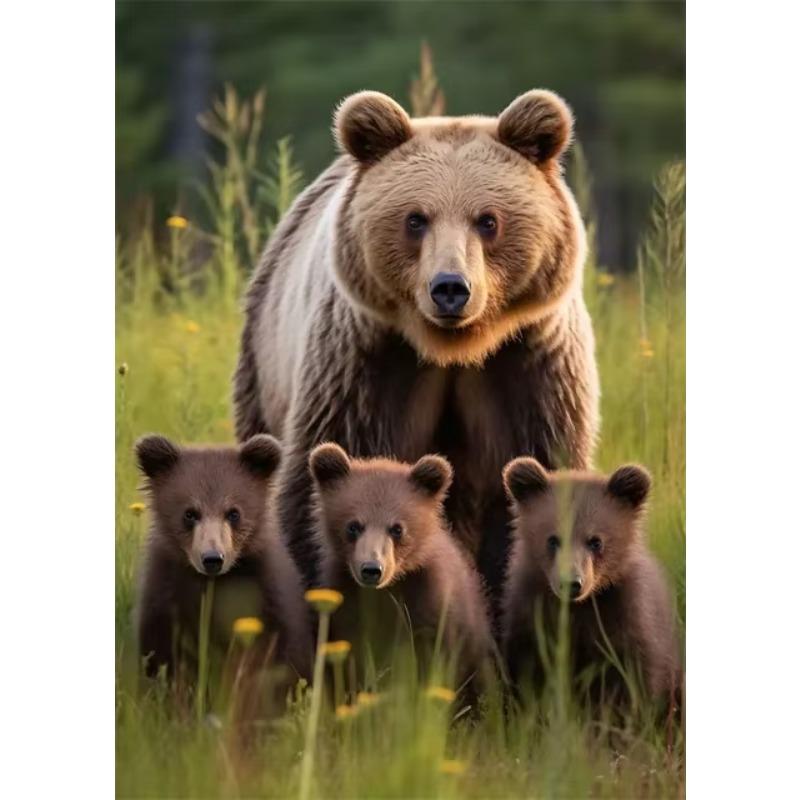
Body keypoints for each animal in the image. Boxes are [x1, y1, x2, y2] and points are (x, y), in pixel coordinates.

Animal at [134, 433, 312, 708]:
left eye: (233, 513)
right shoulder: (166, 594)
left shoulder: (266, 598)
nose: (212, 559)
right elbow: (164, 656)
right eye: (190, 513)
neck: (212, 585)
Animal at [233, 89, 599, 605]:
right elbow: (334, 469)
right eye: (415, 219)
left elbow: (537, 470)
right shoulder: (368, 362)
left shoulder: (528, 365)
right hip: (264, 365)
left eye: (488, 220)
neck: (454, 350)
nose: (450, 288)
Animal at [308, 442, 493, 700]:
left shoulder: (430, 603)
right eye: (353, 526)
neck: (387, 590)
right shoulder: (348, 601)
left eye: (397, 528)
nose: (372, 569)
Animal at [500, 457, 680, 713]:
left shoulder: (625, 620)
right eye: (553, 539)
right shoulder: (532, 618)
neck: (579, 609)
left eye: (595, 541)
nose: (571, 583)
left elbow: (632, 683)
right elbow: (528, 675)